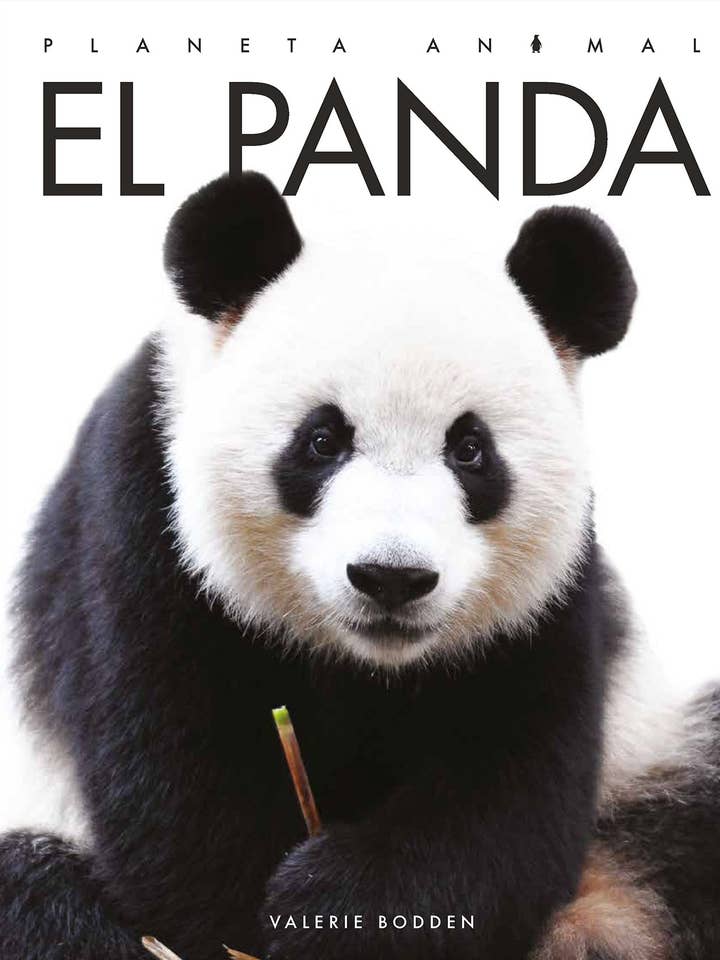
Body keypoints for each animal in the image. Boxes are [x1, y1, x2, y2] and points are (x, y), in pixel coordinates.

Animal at [1, 172, 719, 960]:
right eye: (322, 439)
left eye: (470, 449)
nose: (391, 578)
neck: (366, 664)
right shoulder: (138, 528)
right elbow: (179, 814)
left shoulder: (547, 603)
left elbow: (512, 793)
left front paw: (338, 903)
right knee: (35, 896)